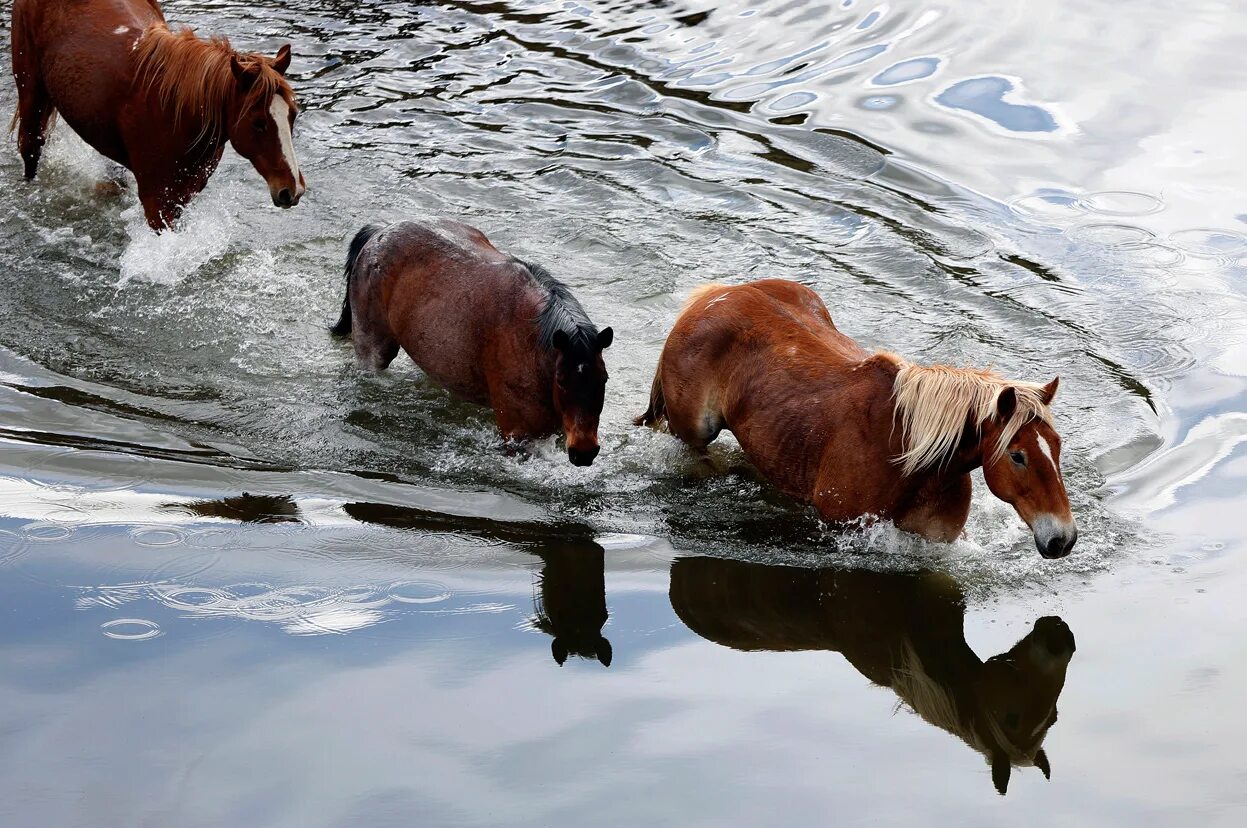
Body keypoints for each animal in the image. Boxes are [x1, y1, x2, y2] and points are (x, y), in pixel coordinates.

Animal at [10, 0, 305, 229]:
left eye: (292, 115)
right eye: (258, 123)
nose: (293, 190)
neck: (175, 112)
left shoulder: (186, 193)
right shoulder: (157, 203)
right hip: (31, 92)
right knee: (30, 148)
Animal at [334, 219, 616, 466]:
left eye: (603, 379)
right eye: (562, 381)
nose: (584, 452)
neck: (531, 344)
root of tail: (379, 232)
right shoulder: (516, 436)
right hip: (373, 347)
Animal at [638, 278, 1077, 556]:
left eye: (1057, 447)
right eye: (1017, 456)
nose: (1064, 539)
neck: (910, 457)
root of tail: (720, 294)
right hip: (693, 432)